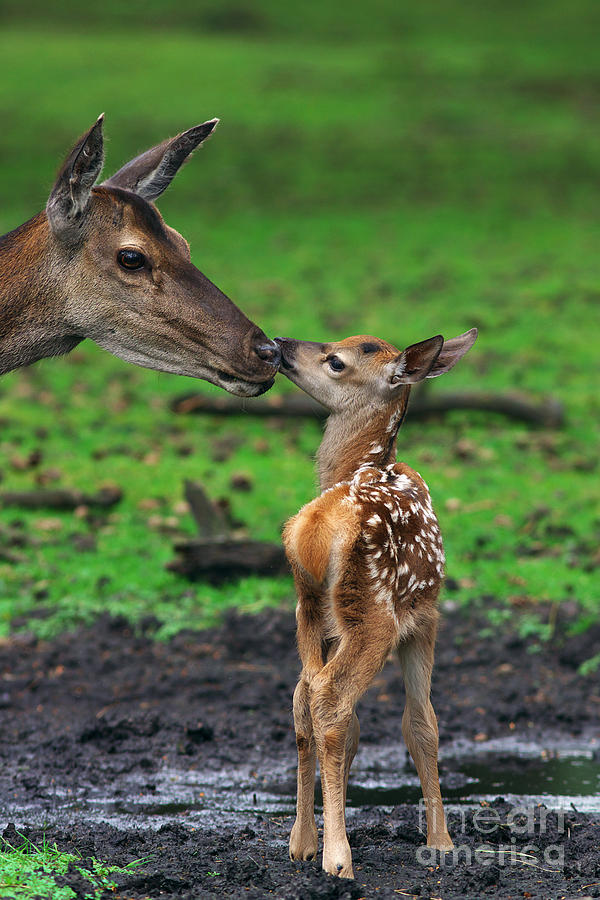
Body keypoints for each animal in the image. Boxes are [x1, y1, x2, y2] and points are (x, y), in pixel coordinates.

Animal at [276, 328, 478, 880]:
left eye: (336, 359)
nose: (280, 343)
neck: (364, 464)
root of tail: (315, 528)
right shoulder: (425, 615)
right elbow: (422, 724)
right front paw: (442, 843)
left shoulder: (327, 622)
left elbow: (355, 725)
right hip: (374, 613)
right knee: (330, 698)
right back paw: (338, 857)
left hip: (309, 608)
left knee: (306, 697)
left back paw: (303, 842)